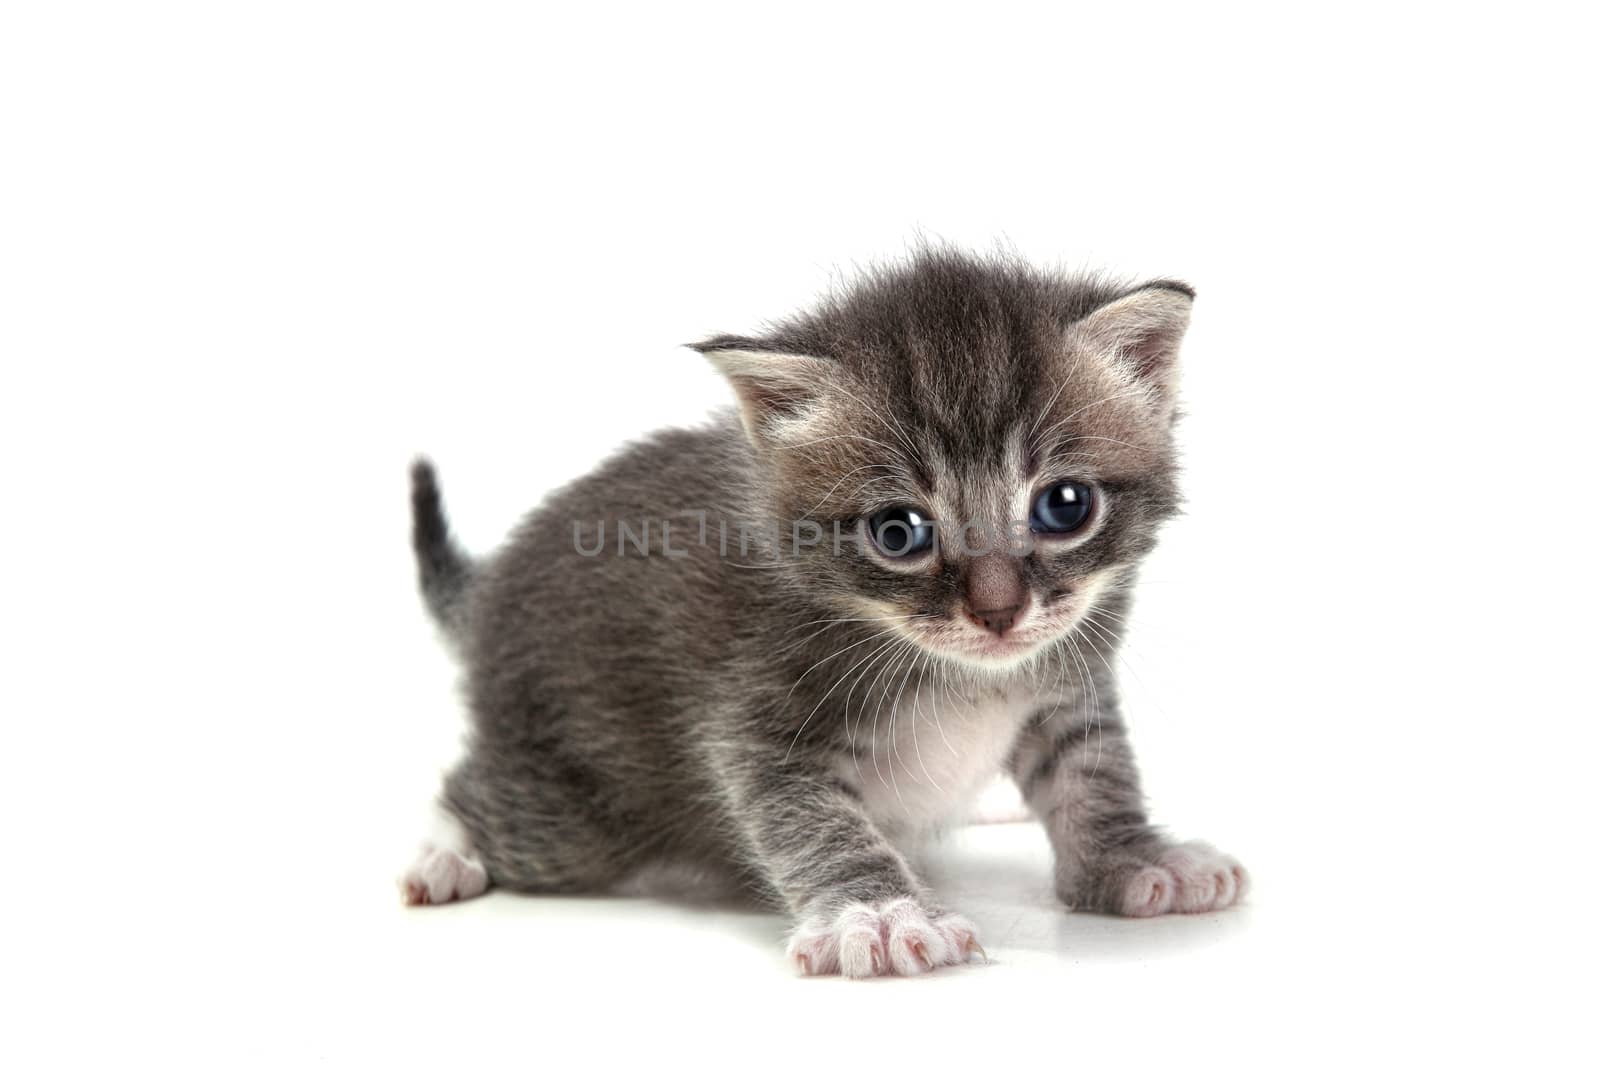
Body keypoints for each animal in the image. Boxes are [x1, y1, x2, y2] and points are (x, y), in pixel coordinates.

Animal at [400, 247, 1248, 979]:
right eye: (898, 531)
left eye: (1064, 505)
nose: (999, 612)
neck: (961, 673)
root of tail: (492, 587)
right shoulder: (755, 720)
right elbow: (816, 819)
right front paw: (876, 914)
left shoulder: (1068, 682)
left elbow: (1094, 771)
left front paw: (1134, 856)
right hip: (571, 812)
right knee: (475, 792)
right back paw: (444, 854)